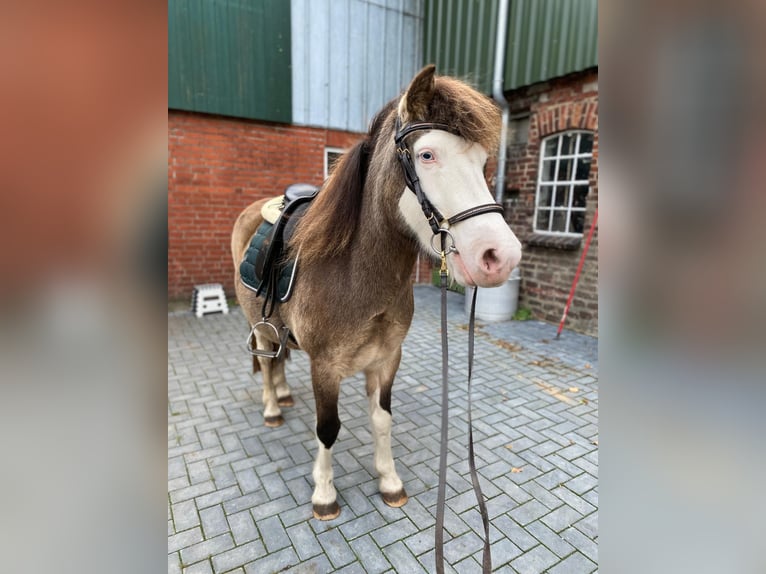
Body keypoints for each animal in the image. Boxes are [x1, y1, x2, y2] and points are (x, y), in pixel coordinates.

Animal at [231, 64, 522, 520]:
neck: (355, 276)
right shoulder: (324, 367)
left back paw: (284, 395)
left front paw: (389, 481)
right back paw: (273, 408)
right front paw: (325, 493)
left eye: (481, 161)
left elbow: (382, 420)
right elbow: (328, 428)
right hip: (257, 326)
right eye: (427, 155)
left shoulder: (386, 360)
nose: (501, 257)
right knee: (265, 360)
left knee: (276, 364)